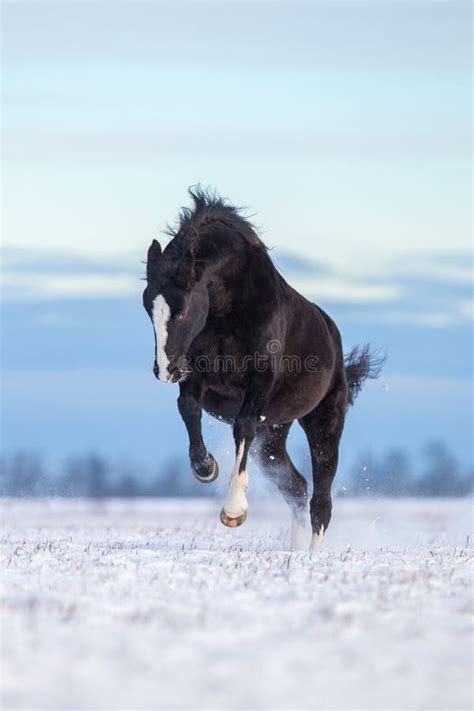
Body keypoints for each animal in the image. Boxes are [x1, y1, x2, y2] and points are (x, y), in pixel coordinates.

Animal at [143, 188, 384, 552]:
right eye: (148, 307)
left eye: (182, 312)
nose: (165, 370)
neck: (230, 309)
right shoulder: (197, 375)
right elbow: (188, 408)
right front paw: (206, 467)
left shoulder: (260, 381)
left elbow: (242, 426)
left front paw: (233, 511)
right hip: (273, 436)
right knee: (297, 487)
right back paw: (295, 551)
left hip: (323, 423)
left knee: (321, 500)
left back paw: (311, 556)